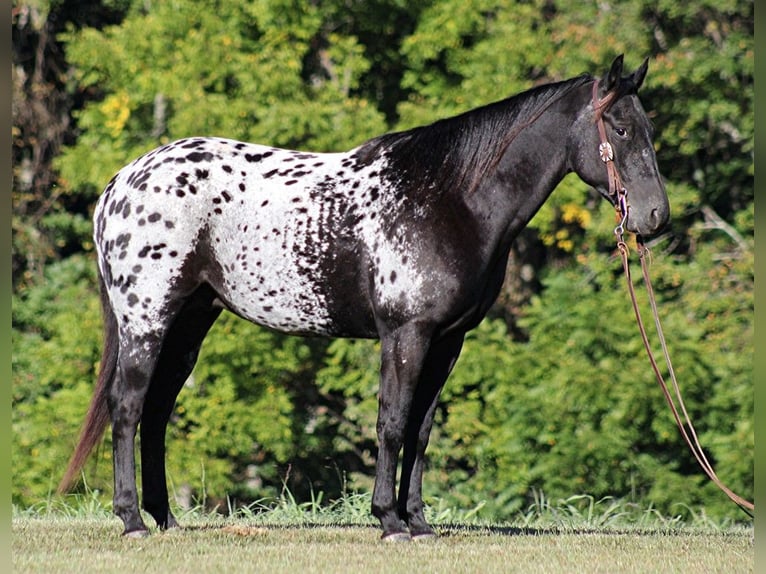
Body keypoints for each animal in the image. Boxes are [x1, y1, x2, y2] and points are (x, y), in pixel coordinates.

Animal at [61, 54, 672, 540]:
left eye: (647, 127)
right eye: (620, 128)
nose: (655, 217)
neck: (450, 198)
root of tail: (120, 185)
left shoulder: (447, 341)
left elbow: (421, 431)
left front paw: (418, 521)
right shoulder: (405, 334)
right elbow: (393, 423)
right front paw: (389, 520)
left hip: (189, 323)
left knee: (156, 413)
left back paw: (164, 519)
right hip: (147, 321)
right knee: (128, 408)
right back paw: (132, 521)